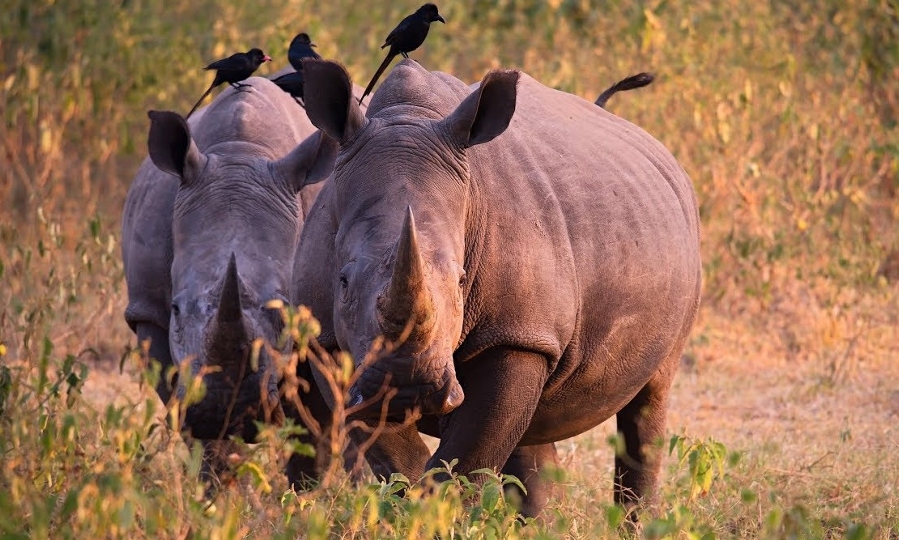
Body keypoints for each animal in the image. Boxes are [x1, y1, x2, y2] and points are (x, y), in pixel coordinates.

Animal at [121, 76, 370, 486]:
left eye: (285, 313)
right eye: (176, 309)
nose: (225, 409)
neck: (240, 153)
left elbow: (314, 429)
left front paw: (304, 495)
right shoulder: (149, 311)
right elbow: (198, 432)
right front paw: (215, 490)